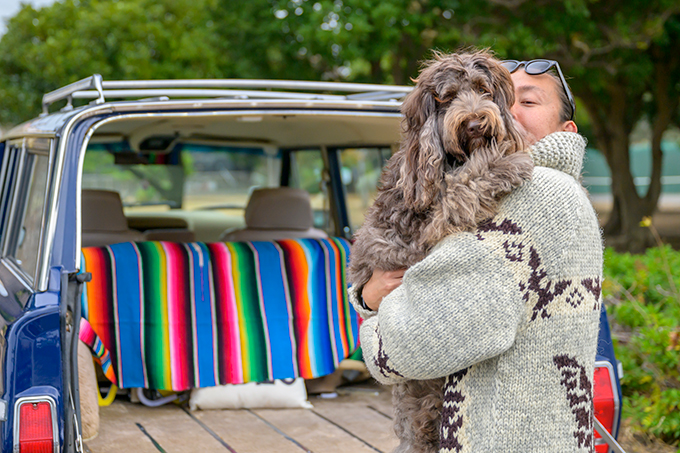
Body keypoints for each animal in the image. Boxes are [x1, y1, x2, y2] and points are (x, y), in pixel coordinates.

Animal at [350, 51, 536, 450]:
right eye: (447, 97)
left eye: (482, 89)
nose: (476, 122)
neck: (452, 159)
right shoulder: (423, 233)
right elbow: (463, 187)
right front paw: (503, 161)